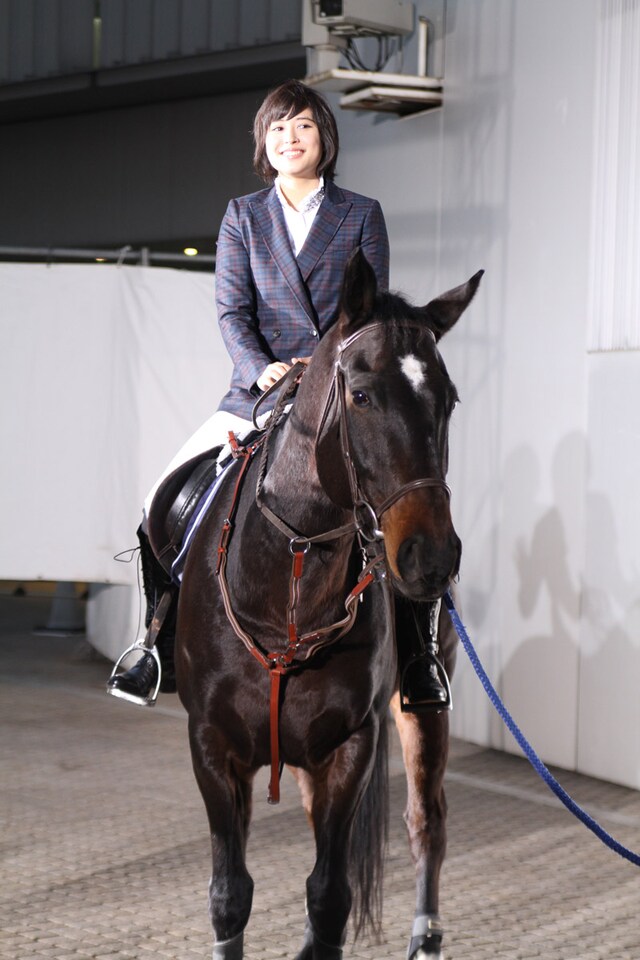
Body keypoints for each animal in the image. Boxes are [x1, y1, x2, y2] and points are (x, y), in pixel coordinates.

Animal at [175, 249, 482, 960]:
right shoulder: (212, 744)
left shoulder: (350, 746)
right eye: (362, 395)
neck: (290, 575)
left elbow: (330, 895)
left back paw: (426, 935)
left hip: (419, 710)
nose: (431, 557)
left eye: (448, 399)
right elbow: (229, 893)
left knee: (428, 821)